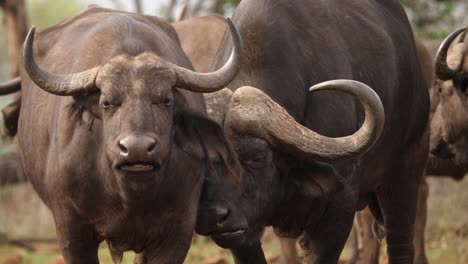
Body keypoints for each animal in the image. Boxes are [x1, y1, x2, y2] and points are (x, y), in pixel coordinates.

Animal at [16, 6, 243, 264]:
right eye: (106, 102)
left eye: (166, 100)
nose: (137, 149)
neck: (129, 195)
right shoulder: (71, 230)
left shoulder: (178, 230)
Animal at [196, 0, 430, 264]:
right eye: (205, 158)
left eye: (257, 157)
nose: (212, 215)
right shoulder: (243, 229)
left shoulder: (340, 205)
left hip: (406, 171)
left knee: (401, 241)